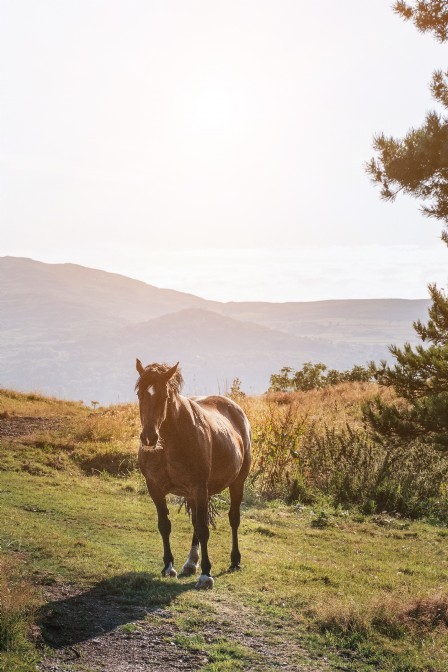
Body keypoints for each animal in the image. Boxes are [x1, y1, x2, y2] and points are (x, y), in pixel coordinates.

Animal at [133, 360, 252, 584]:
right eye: (139, 393)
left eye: (165, 396)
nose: (149, 438)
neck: (169, 441)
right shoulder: (155, 488)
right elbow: (165, 525)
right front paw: (168, 567)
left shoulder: (199, 487)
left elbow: (203, 529)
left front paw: (206, 574)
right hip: (194, 493)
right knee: (196, 521)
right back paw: (190, 563)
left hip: (236, 483)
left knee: (233, 519)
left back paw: (234, 561)